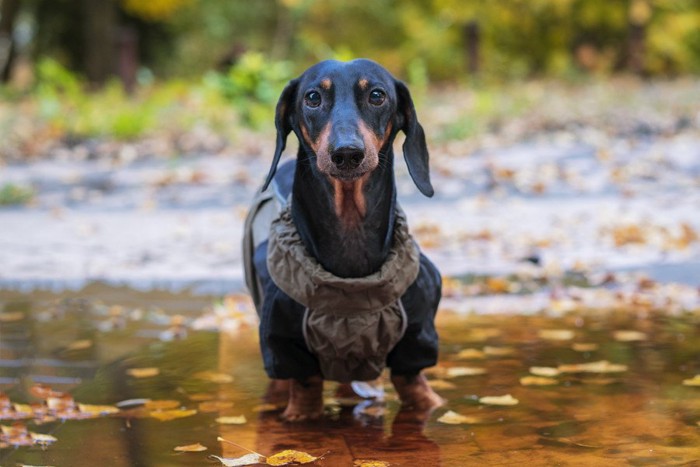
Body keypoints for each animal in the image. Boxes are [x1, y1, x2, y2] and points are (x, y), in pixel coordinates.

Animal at [245, 58, 442, 420]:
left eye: (377, 95)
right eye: (312, 97)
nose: (347, 153)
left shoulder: (416, 344)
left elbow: (417, 389)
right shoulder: (285, 349)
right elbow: (303, 391)